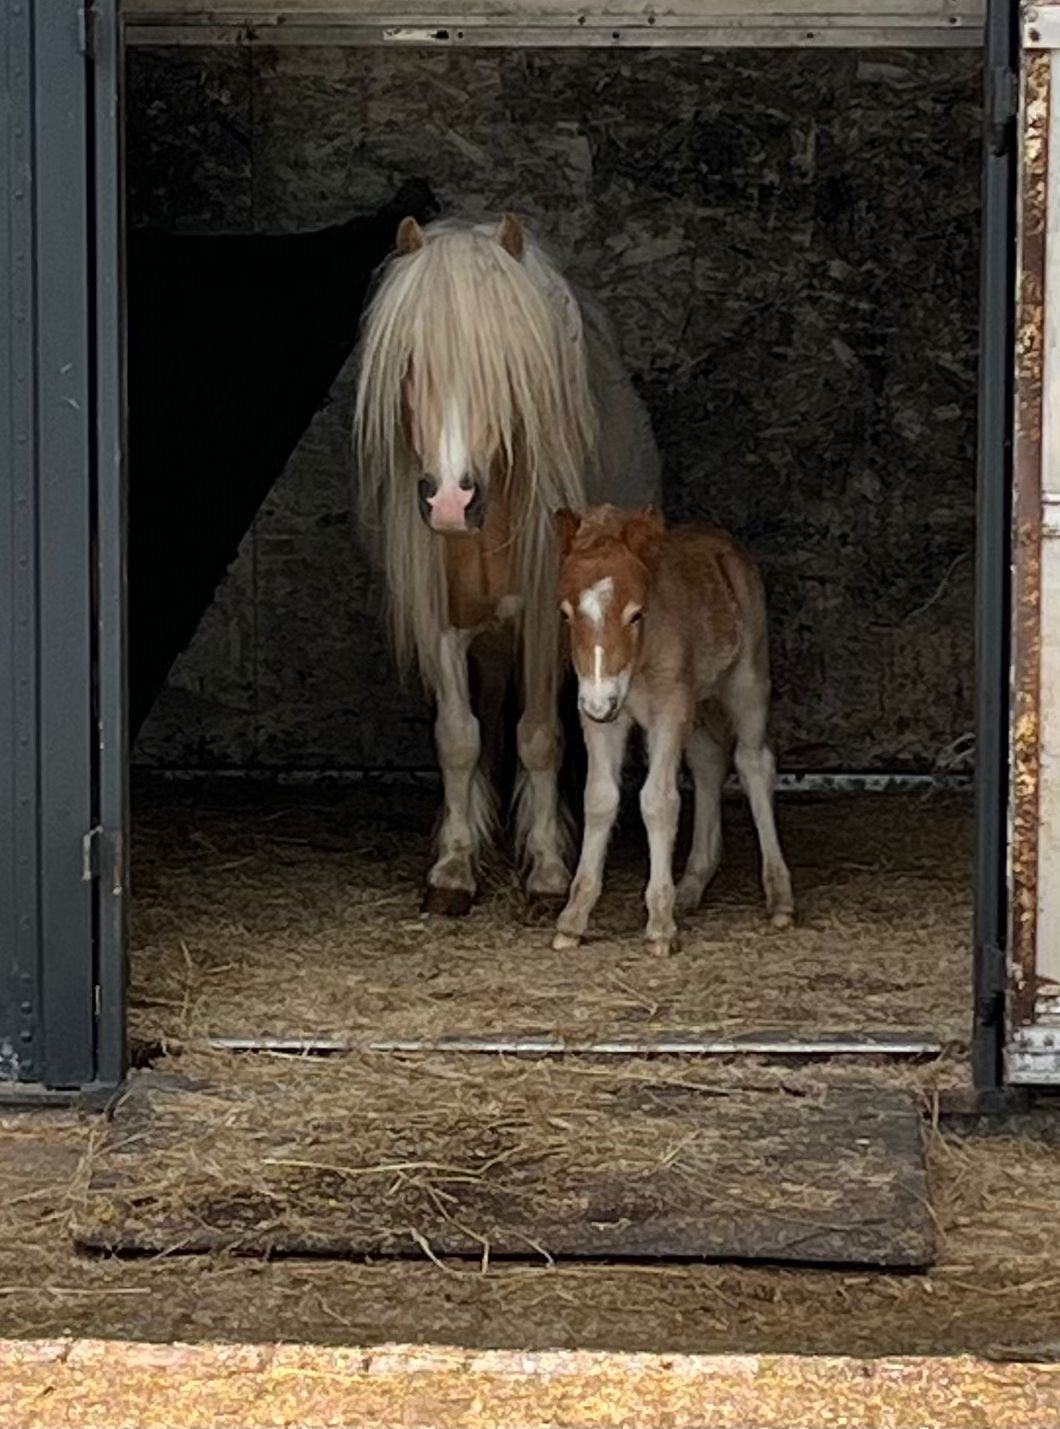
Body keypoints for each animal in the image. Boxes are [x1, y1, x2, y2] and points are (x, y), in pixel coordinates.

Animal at [353, 214, 661, 914]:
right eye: (410, 365)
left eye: (506, 370)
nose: (448, 500)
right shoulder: (442, 623)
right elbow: (459, 737)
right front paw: (453, 866)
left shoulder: (550, 626)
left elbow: (540, 737)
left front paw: (547, 869)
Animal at [552, 504, 795, 954]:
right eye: (566, 614)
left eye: (636, 613)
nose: (600, 701)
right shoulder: (601, 718)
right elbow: (599, 799)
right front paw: (573, 918)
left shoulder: (668, 709)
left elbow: (659, 801)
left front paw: (660, 926)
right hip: (695, 704)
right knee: (708, 763)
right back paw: (691, 884)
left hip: (747, 683)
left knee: (753, 763)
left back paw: (779, 899)